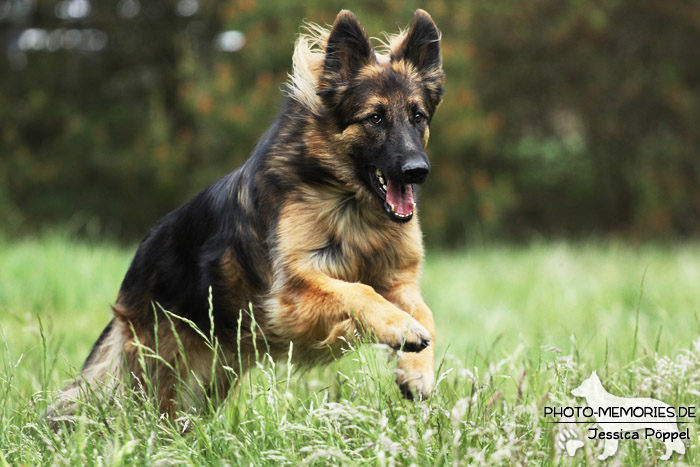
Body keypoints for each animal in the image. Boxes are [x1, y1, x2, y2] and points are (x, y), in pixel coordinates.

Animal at [57, 8, 446, 416]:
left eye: (418, 117)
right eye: (375, 118)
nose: (417, 170)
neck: (350, 203)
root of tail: (132, 274)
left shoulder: (398, 281)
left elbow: (425, 313)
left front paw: (417, 371)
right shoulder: (290, 294)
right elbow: (358, 291)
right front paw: (400, 328)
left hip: (211, 379)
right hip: (164, 374)